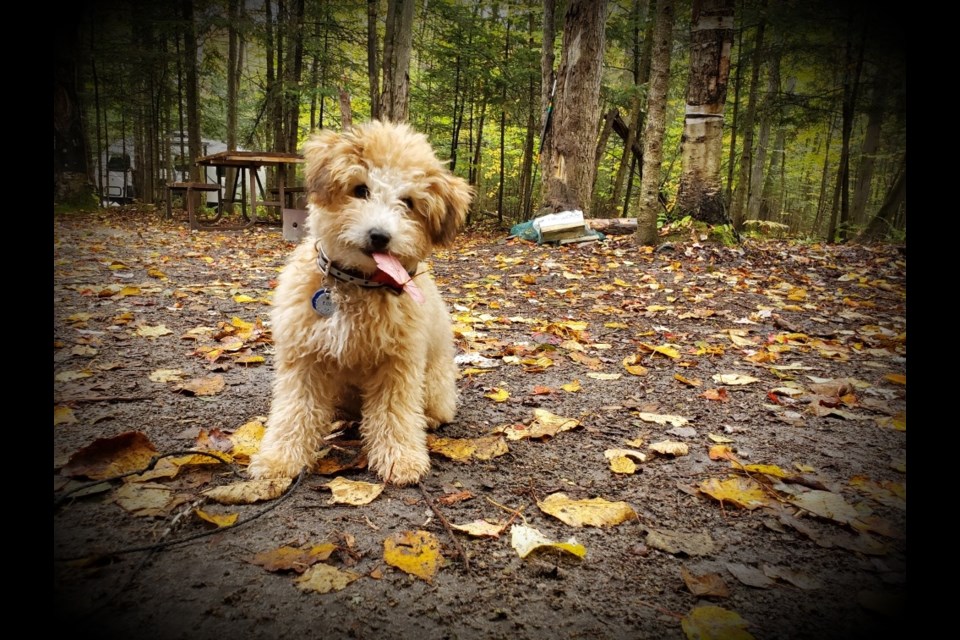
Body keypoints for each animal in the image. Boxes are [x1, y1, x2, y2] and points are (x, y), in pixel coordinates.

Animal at [248, 120, 472, 484]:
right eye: (360, 189)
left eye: (408, 202)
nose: (380, 235)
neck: (356, 284)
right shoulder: (303, 358)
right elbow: (295, 410)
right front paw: (279, 459)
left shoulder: (398, 363)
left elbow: (394, 413)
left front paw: (401, 458)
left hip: (435, 383)